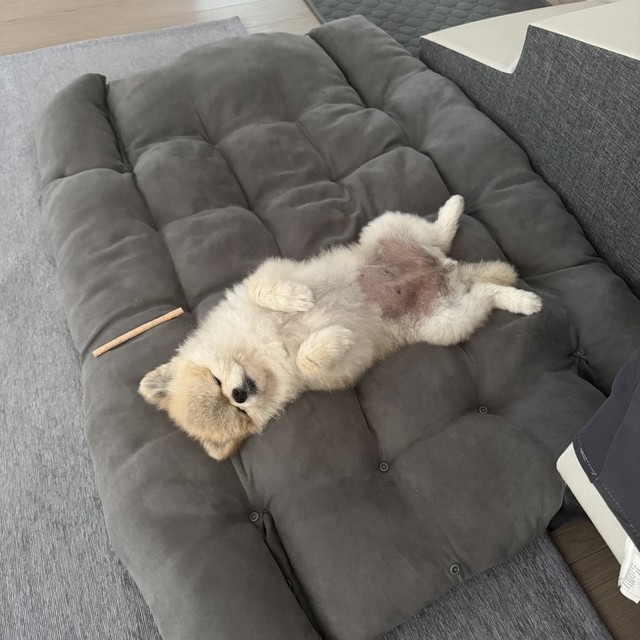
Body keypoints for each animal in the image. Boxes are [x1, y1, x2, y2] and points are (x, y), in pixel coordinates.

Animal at [139, 196, 542, 460]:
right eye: (241, 413)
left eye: (217, 383)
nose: (239, 395)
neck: (264, 352)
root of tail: (446, 269)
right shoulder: (331, 373)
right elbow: (308, 361)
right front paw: (334, 337)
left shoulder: (267, 275)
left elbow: (264, 288)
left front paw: (299, 299)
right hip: (447, 321)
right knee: (484, 293)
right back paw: (520, 299)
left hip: (386, 228)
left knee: (438, 234)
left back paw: (454, 207)